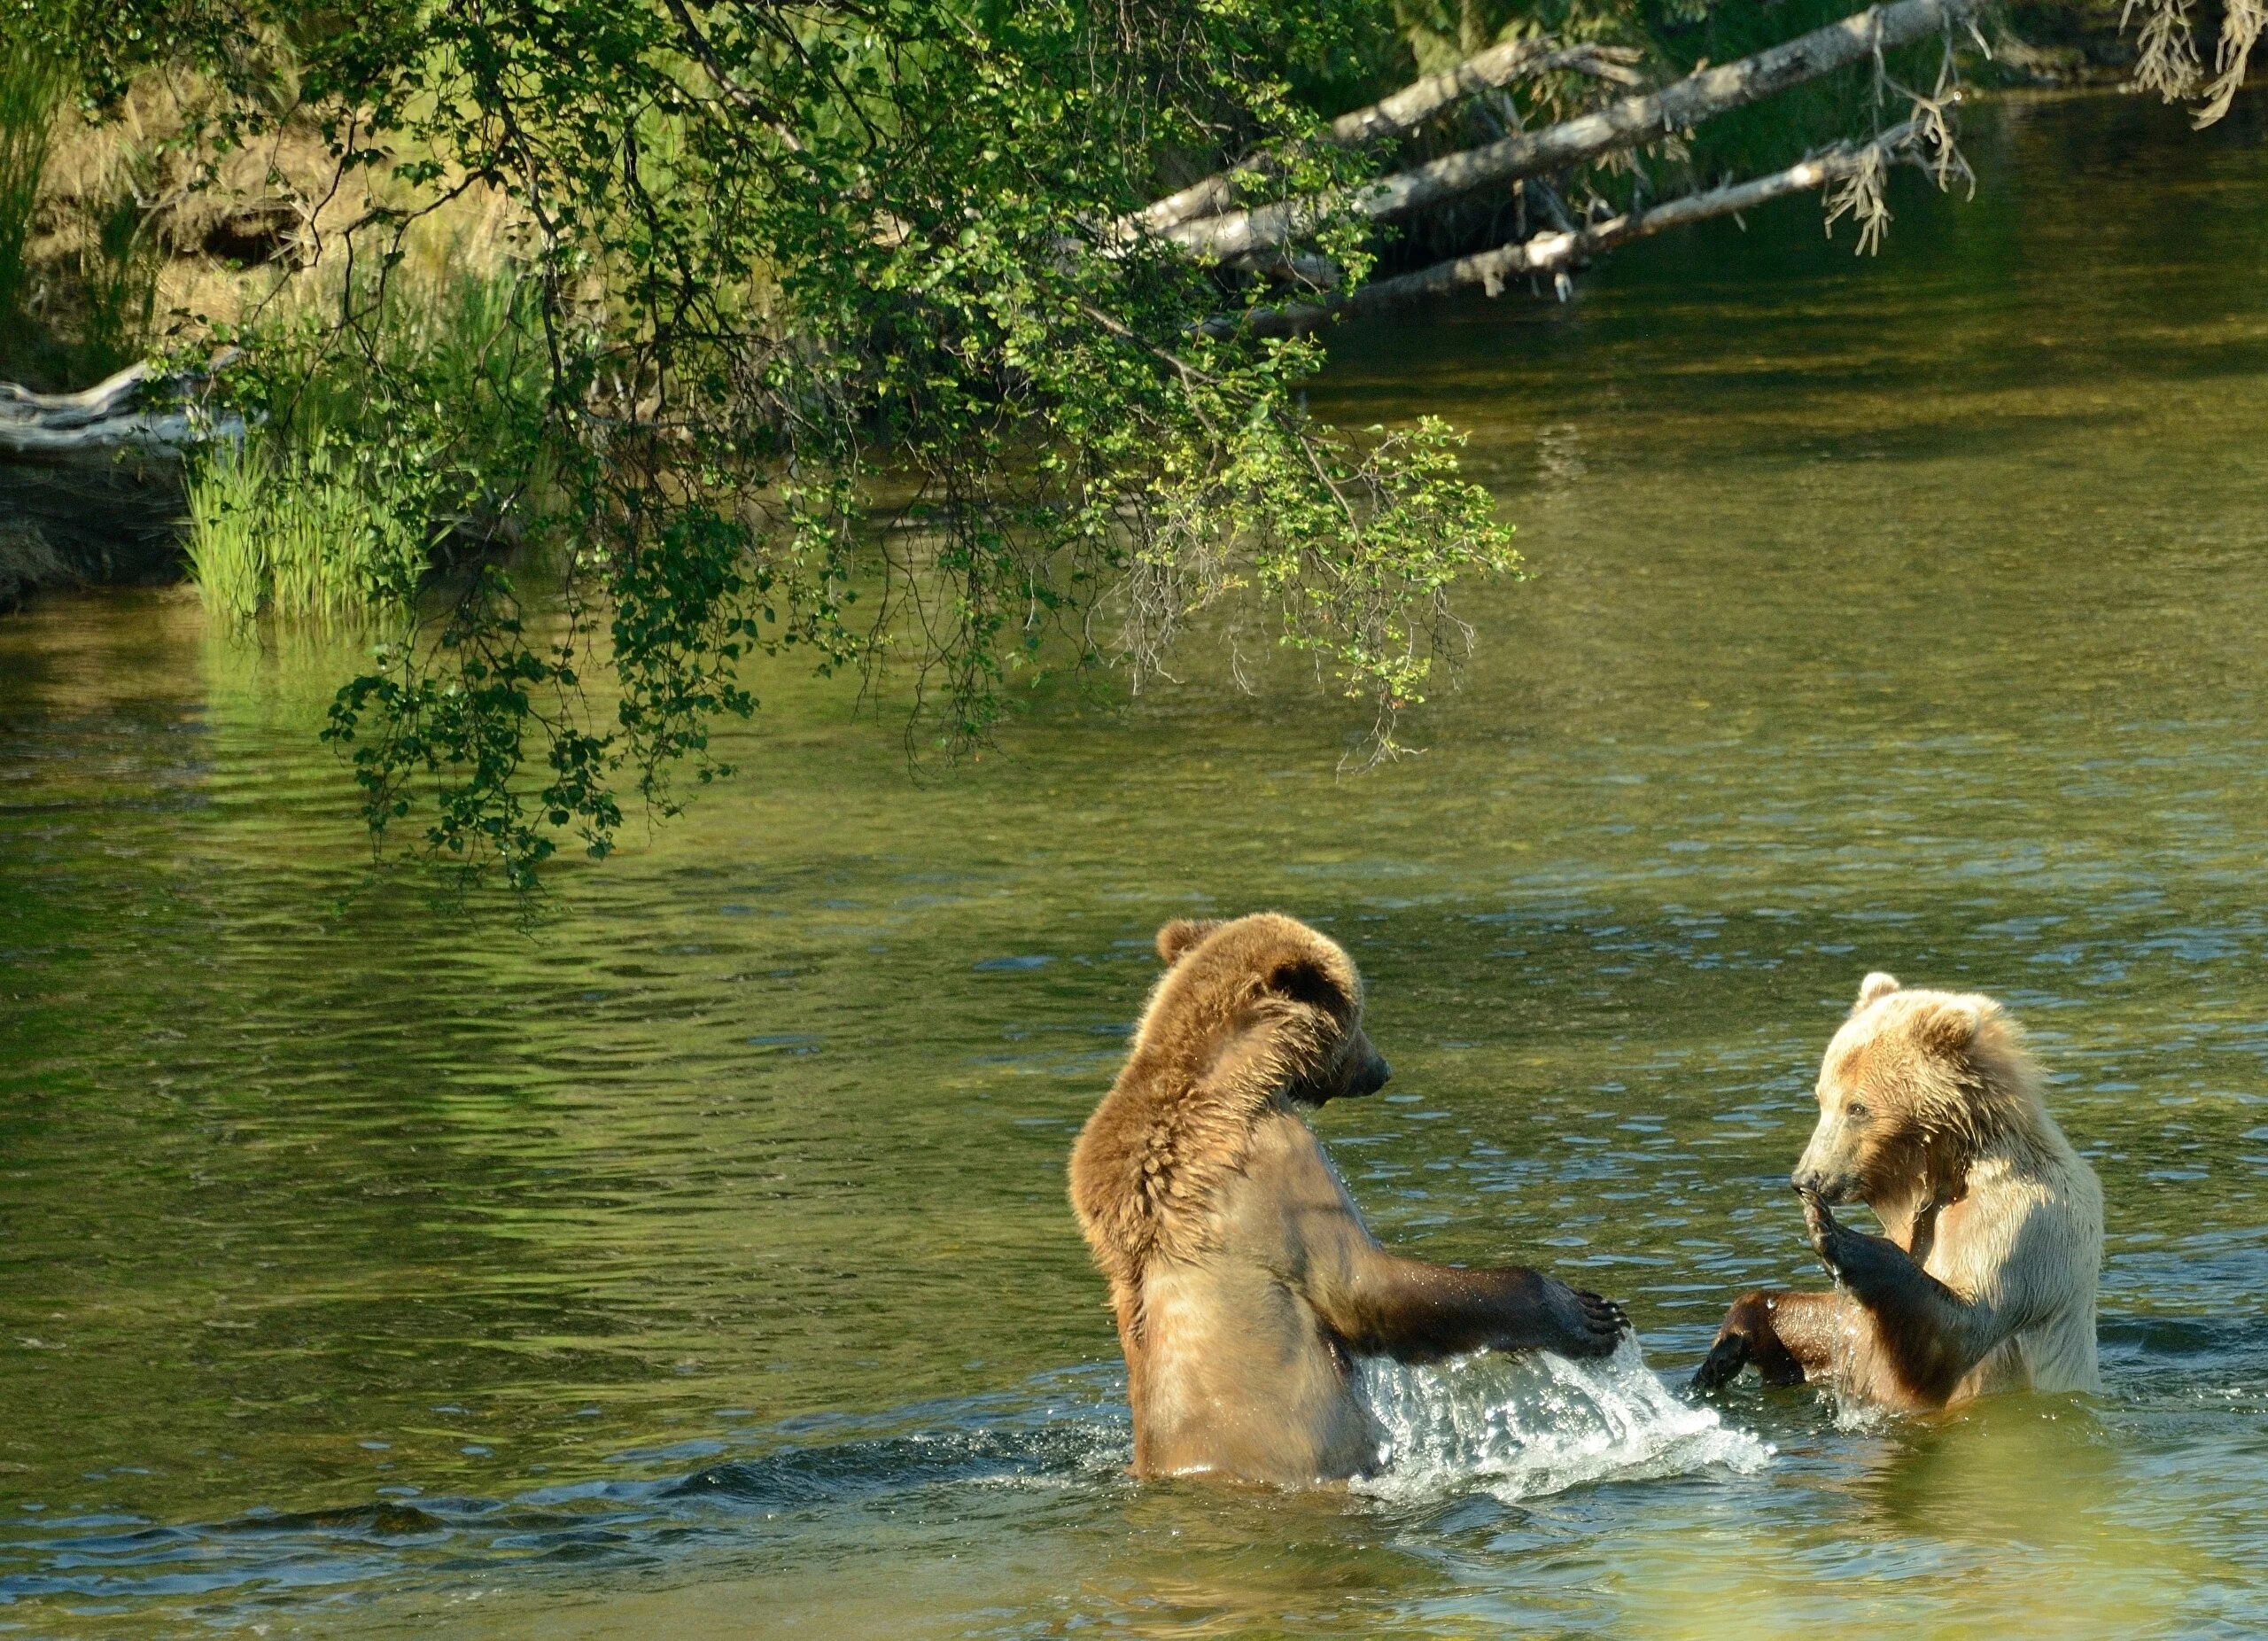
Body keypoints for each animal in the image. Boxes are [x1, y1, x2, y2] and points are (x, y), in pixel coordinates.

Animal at [1066, 912, 1633, 1489]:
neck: (1240, 1077)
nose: (1380, 1068)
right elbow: (1360, 1283)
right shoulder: (1275, 1164)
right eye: (1358, 1014)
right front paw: (1587, 1312)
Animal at [1696, 976, 2095, 1416]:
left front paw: (1836, 1234)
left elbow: (1958, 1332)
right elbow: (1848, 1327)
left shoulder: (2022, 1220)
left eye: (1857, 1107)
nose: (1805, 1178)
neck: (1946, 1174)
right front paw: (1730, 1343)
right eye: (1822, 1097)